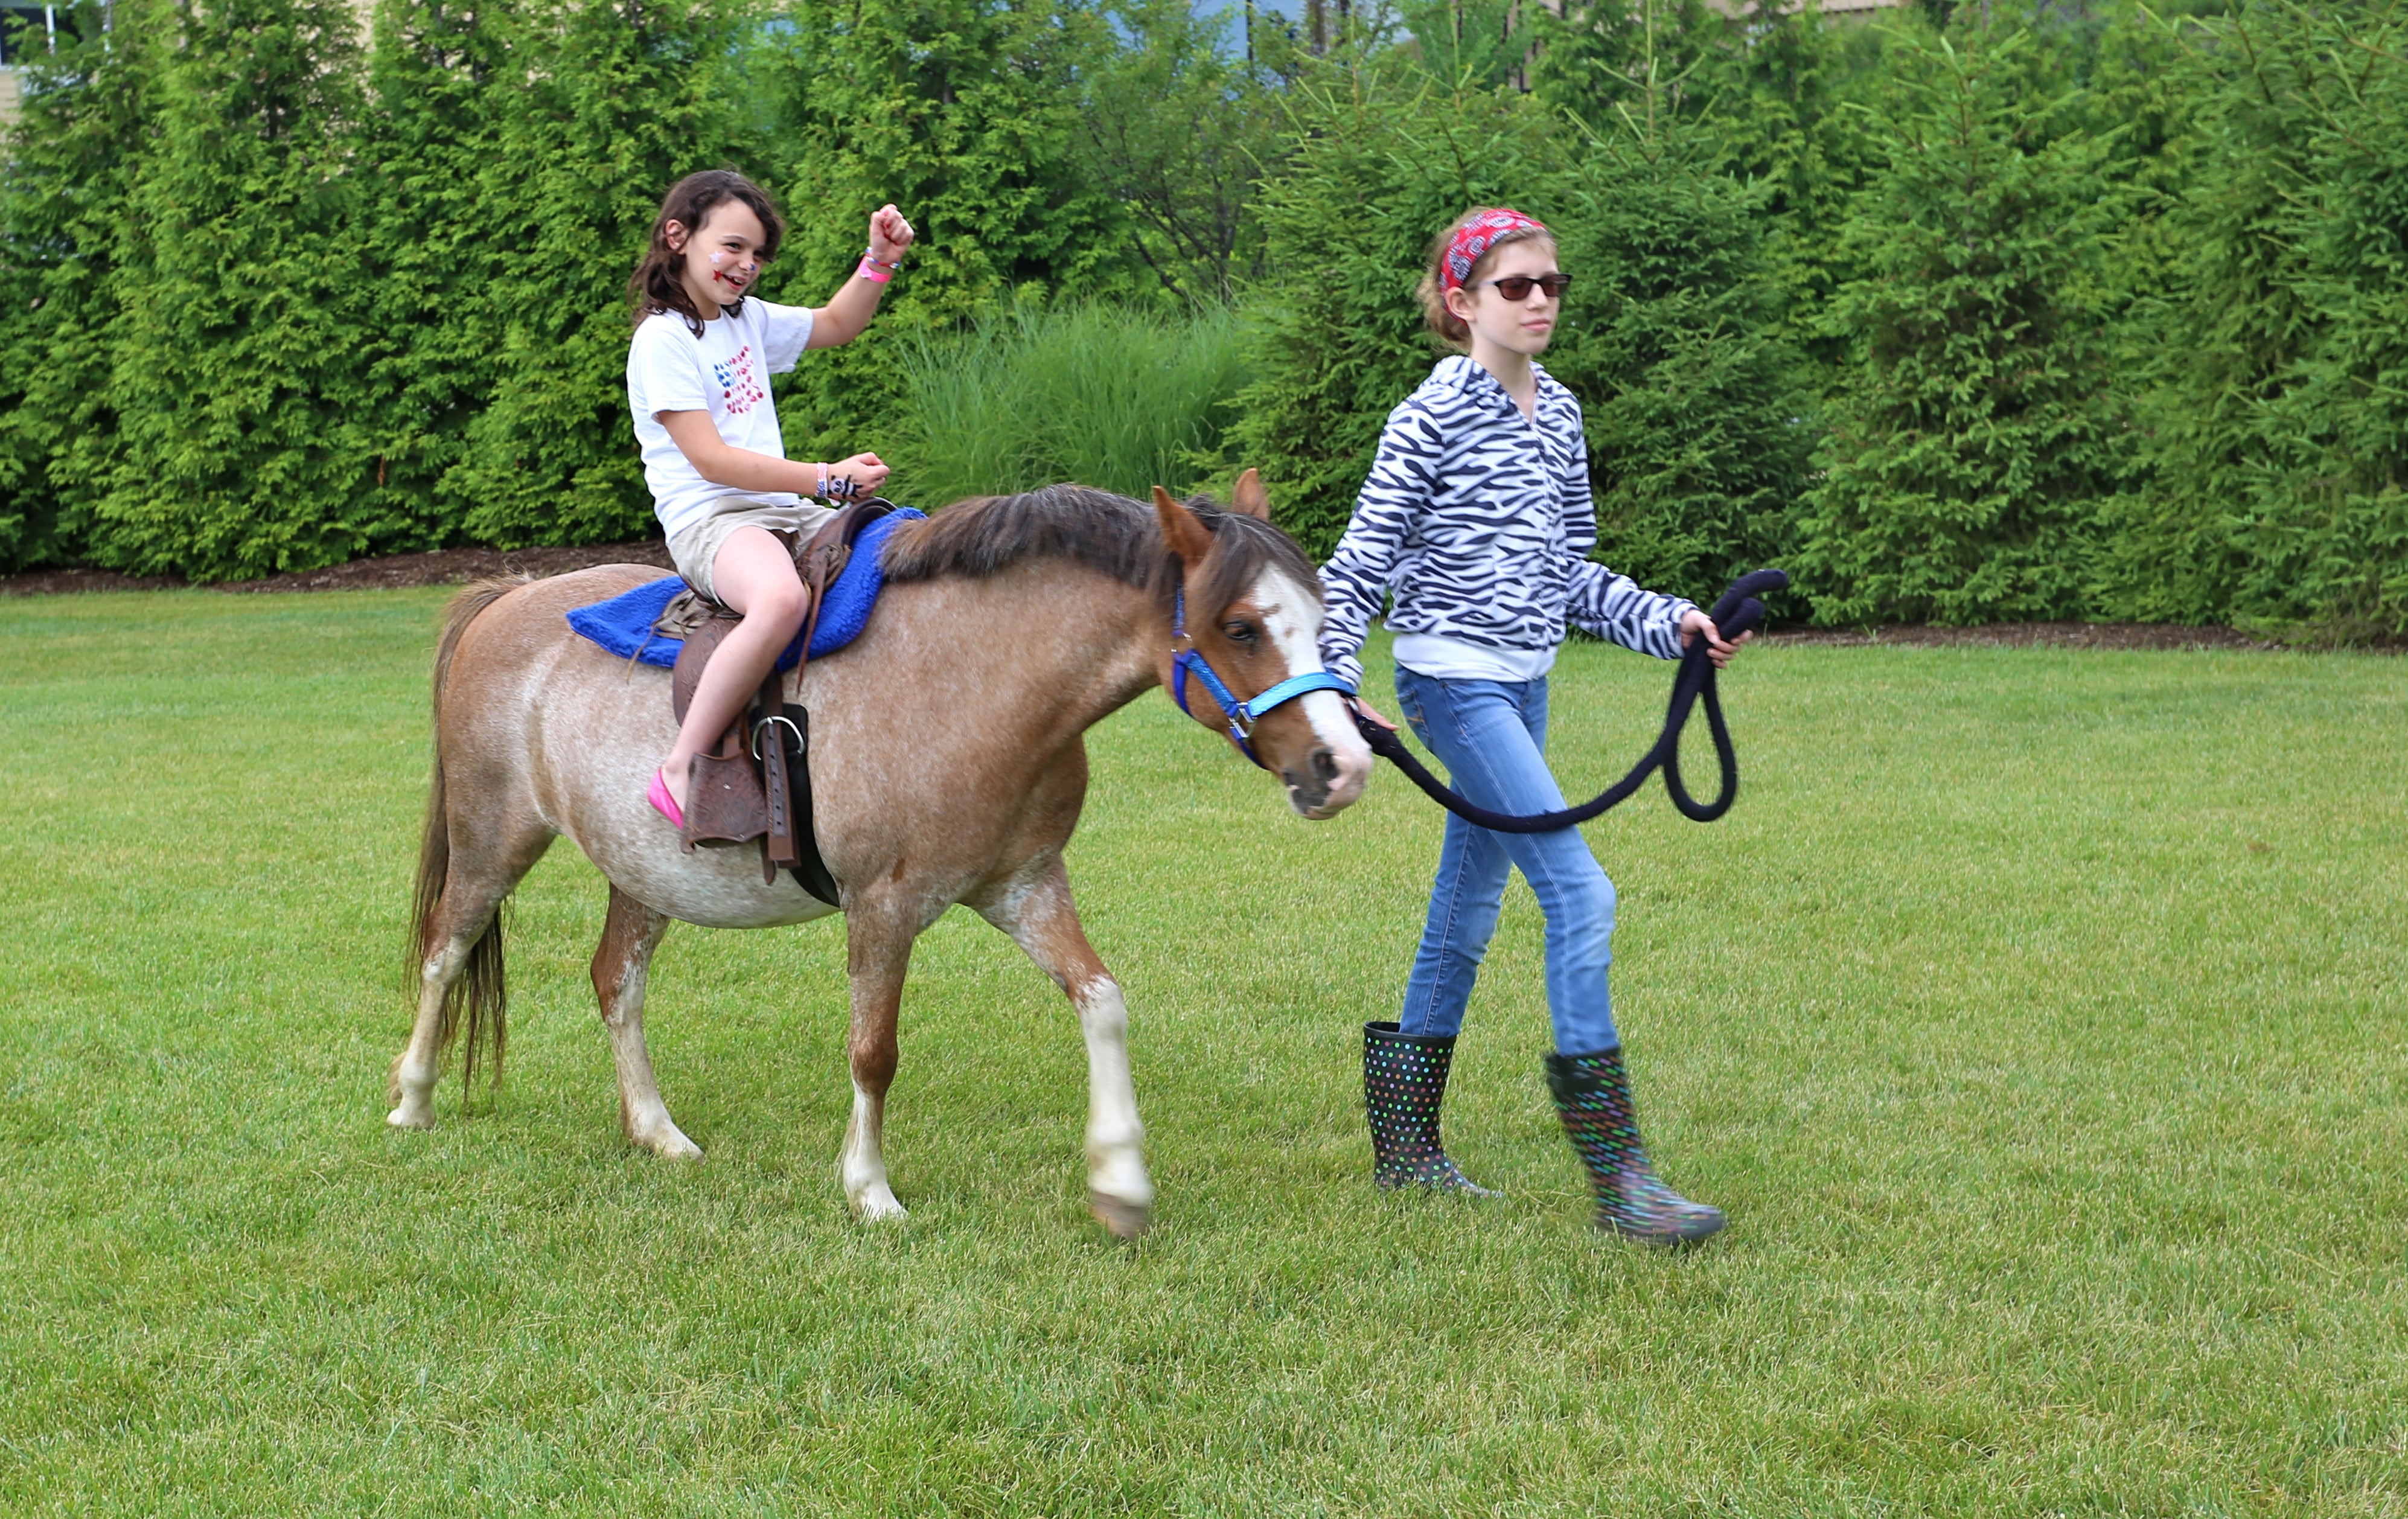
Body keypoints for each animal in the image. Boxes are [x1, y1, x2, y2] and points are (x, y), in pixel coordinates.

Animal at [385, 474, 1372, 1237]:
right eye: (1240, 627)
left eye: (1324, 612)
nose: (1345, 764)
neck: (976, 682)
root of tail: (508, 596)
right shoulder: (884, 906)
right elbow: (874, 1051)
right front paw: (869, 1190)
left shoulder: (1025, 887)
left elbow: (1103, 1003)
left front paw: (1120, 1183)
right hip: (493, 842)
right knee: (443, 952)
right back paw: (414, 1100)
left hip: (644, 872)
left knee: (614, 982)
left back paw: (658, 1132)